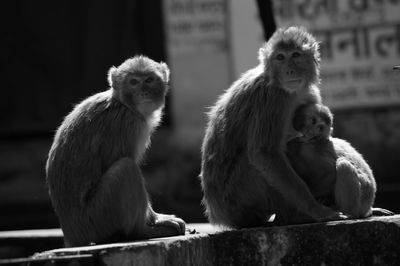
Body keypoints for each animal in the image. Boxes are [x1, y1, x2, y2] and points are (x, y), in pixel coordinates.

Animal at [45, 56, 186, 247]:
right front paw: (157, 219)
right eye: (133, 82)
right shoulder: (129, 124)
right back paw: (141, 231)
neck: (123, 104)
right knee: (126, 168)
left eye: (149, 80)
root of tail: (73, 236)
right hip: (98, 219)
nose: (143, 92)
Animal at [200, 25, 346, 229]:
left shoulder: (308, 93)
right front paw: (317, 210)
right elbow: (265, 154)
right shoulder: (272, 99)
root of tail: (219, 216)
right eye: (280, 57)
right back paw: (294, 216)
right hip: (240, 198)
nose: (289, 71)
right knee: (257, 160)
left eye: (295, 55)